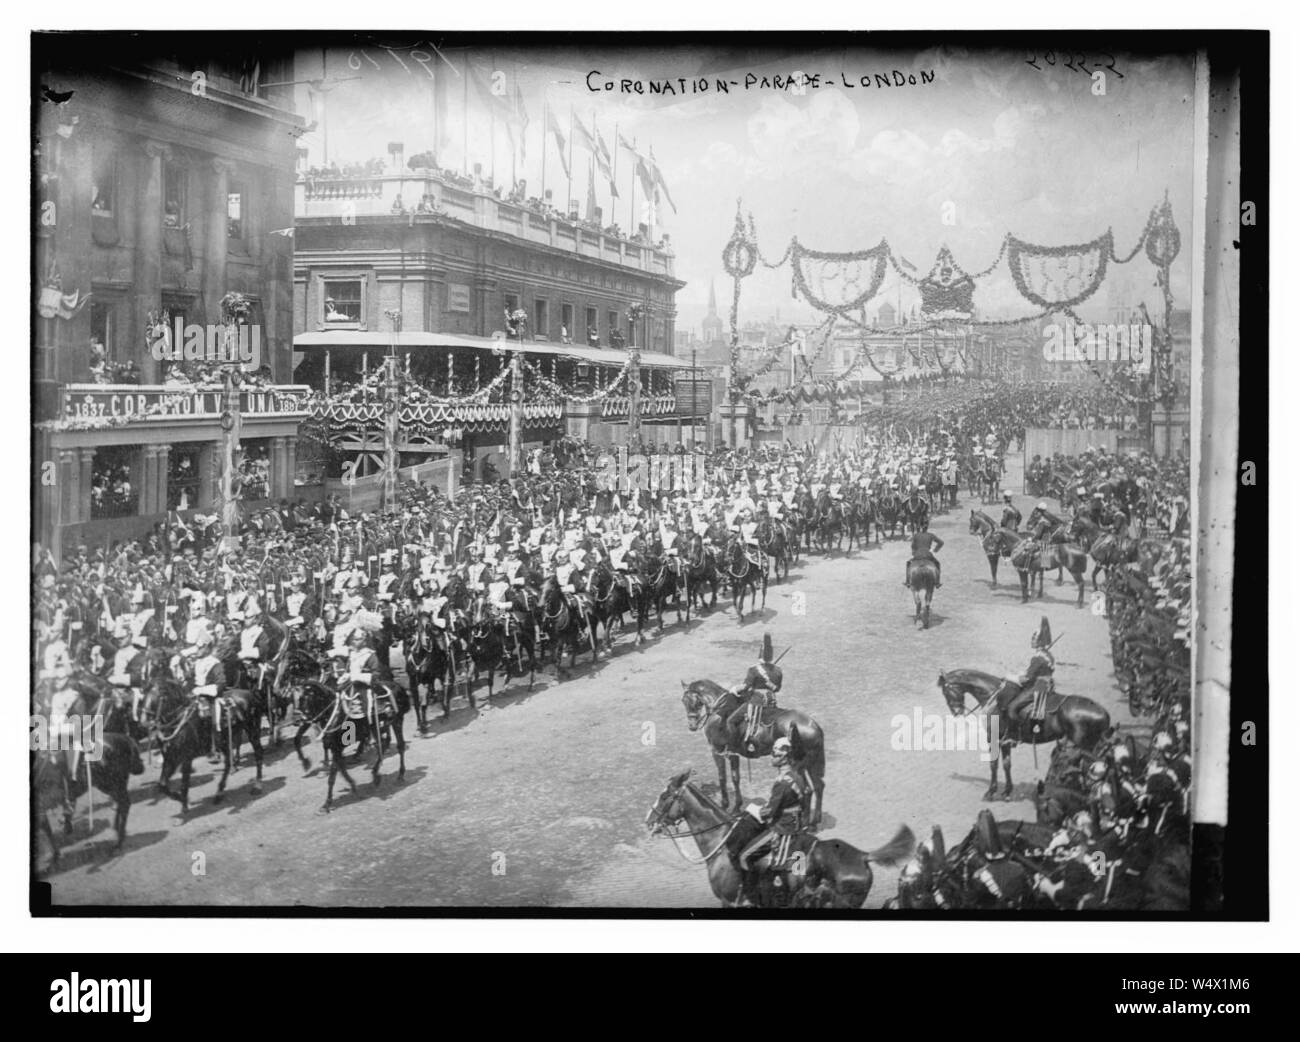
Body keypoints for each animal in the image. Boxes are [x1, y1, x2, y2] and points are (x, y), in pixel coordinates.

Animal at [681, 675, 821, 826]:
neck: (719, 713)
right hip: (810, 763)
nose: (692, 726)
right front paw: (736, 807)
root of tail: (812, 725)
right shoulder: (733, 754)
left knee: (806, 789)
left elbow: (723, 777)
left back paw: (806, 823)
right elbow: (735, 777)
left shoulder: (718, 751)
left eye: (695, 702)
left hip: (799, 765)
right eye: (683, 701)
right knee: (817, 786)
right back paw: (813, 821)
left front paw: (725, 805)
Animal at [941, 665, 1112, 795]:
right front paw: (1007, 791)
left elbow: (994, 765)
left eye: (946, 691)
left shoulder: (994, 740)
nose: (956, 712)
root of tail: (1103, 712)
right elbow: (1006, 764)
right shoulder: (1005, 742)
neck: (994, 696)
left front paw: (991, 791)